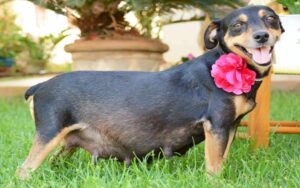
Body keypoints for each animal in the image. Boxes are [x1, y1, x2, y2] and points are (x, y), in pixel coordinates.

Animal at [15, 5, 284, 179]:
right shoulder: (216, 125)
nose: (262, 36)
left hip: (66, 142)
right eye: (238, 25)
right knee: (23, 170)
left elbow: (223, 159)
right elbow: (214, 167)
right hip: (49, 133)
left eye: (270, 19)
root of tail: (40, 85)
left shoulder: (230, 126)